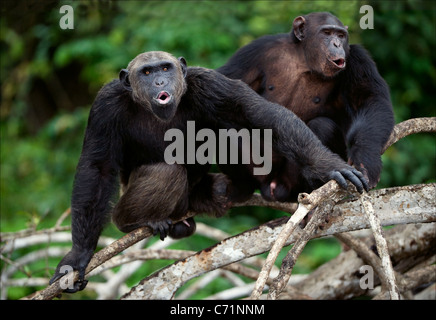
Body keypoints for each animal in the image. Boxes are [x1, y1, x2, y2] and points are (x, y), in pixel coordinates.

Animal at [50, 50, 368, 292]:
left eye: (165, 68)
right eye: (146, 72)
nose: (160, 80)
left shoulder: (209, 83)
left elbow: (262, 115)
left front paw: (327, 165)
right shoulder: (105, 105)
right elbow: (97, 167)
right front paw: (78, 256)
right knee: (166, 173)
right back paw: (137, 221)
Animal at [218, 11, 396, 202]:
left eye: (341, 35)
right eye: (327, 33)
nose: (336, 43)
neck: (304, 60)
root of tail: (273, 188)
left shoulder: (357, 58)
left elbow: (369, 100)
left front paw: (366, 160)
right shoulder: (255, 51)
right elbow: (226, 83)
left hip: (291, 183)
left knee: (323, 125)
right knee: (227, 128)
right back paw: (241, 187)